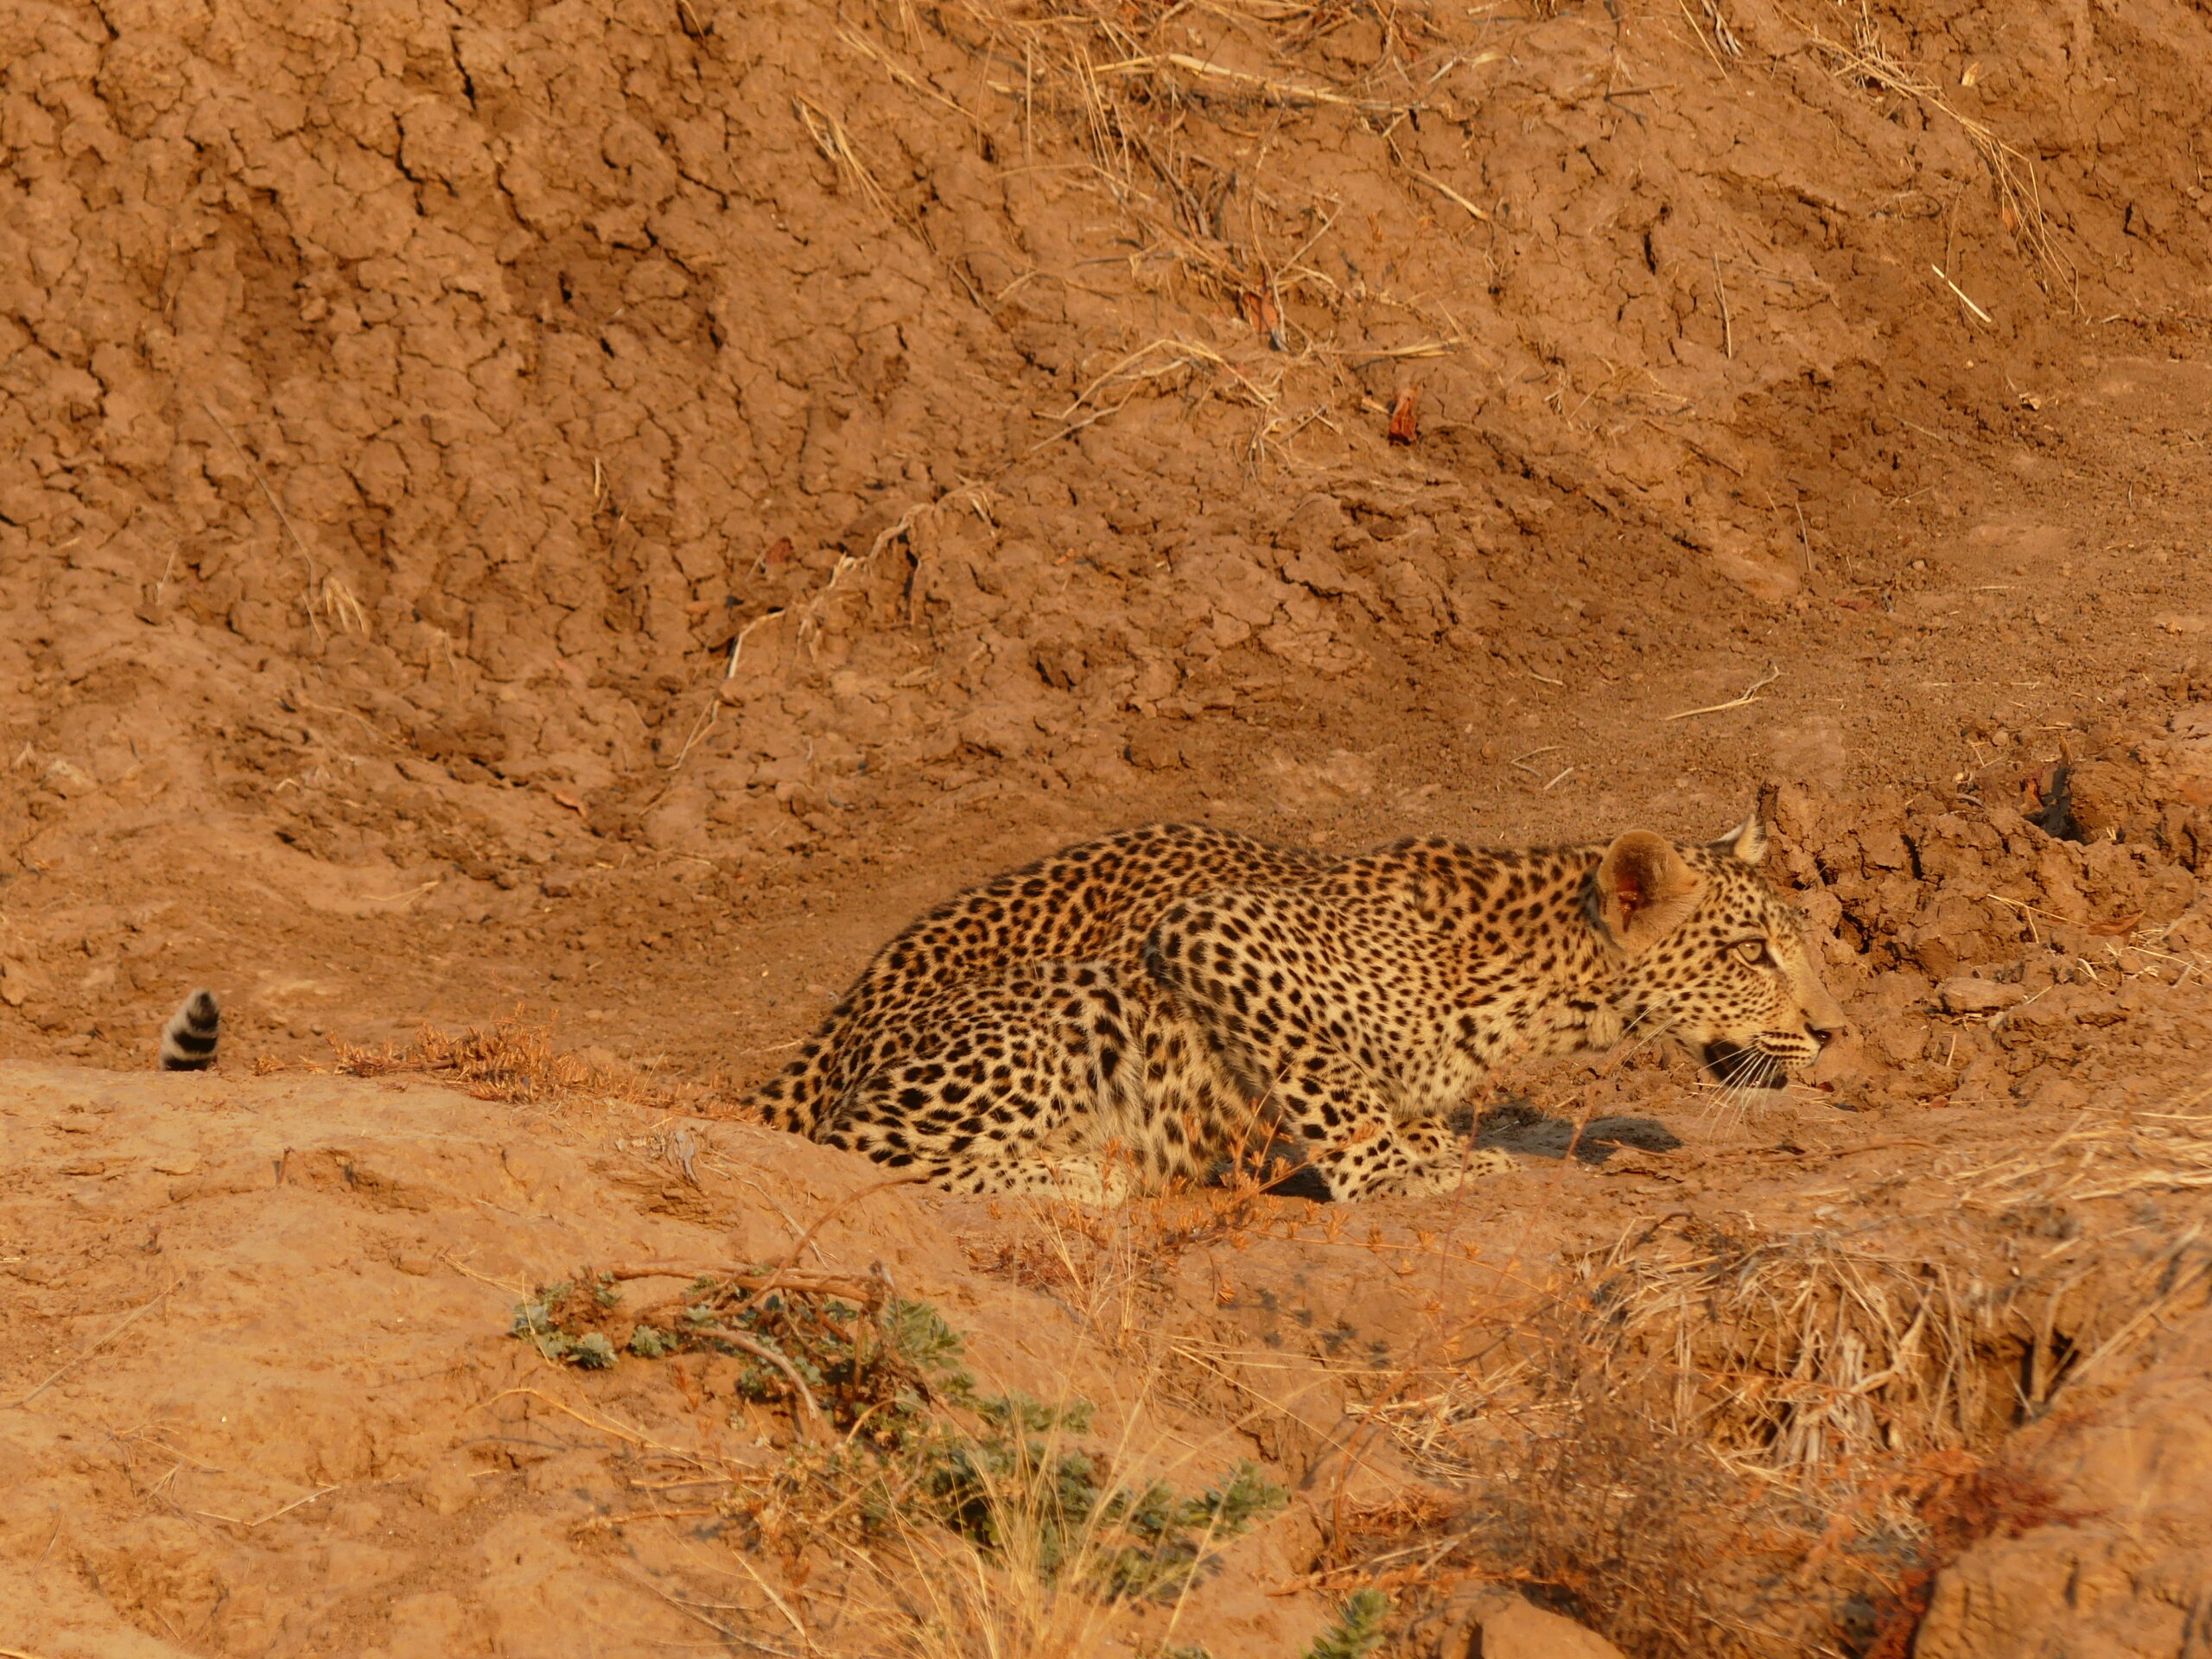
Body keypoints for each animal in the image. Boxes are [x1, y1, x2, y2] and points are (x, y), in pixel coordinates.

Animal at [749, 816, 1847, 1204]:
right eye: (1751, 954)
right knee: (858, 1146)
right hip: (1065, 1005)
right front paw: (1402, 1170)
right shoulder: (1210, 933)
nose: (1832, 1031)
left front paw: (1434, 1146)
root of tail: (846, 1026)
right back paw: (1081, 1171)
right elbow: (1332, 1088)